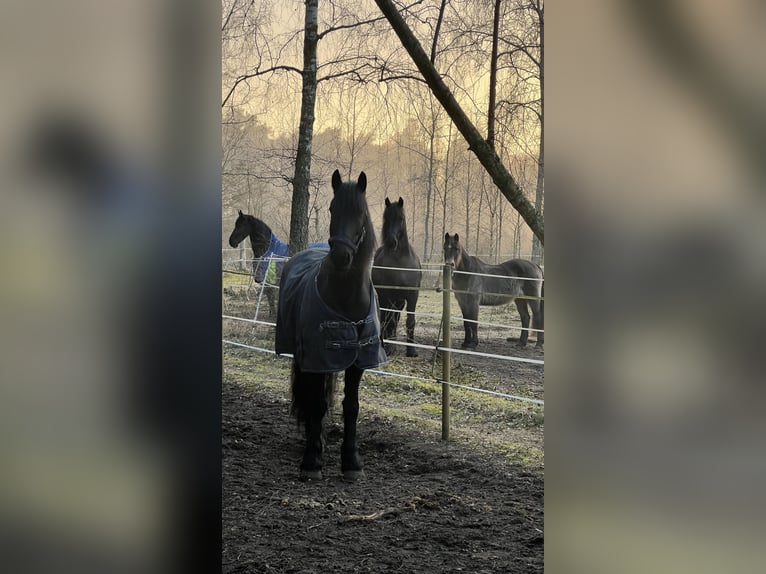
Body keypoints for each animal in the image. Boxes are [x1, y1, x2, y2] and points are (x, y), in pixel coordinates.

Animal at [274, 170, 384, 482]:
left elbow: (351, 407)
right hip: (305, 359)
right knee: (311, 398)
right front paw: (312, 461)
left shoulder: (356, 361)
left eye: (360, 213)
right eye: (333, 209)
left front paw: (352, 462)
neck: (346, 299)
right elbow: (317, 404)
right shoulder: (316, 357)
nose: (341, 257)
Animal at [374, 199, 426, 360]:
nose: (391, 242)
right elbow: (389, 321)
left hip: (399, 301)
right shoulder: (388, 295)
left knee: (394, 319)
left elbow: (410, 321)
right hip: (386, 299)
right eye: (386, 218)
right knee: (386, 319)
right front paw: (390, 348)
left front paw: (411, 351)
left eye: (401, 218)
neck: (399, 263)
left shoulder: (412, 295)